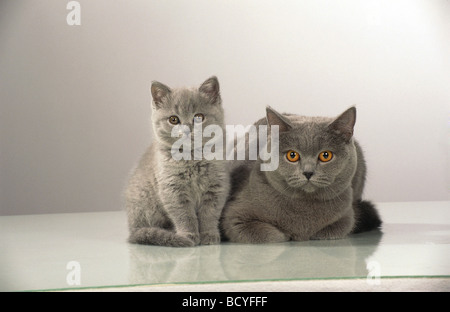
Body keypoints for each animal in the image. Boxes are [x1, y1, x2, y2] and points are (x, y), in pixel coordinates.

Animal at [126, 77, 232, 247]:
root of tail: (132, 229)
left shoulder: (216, 186)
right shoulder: (172, 189)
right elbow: (184, 215)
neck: (192, 158)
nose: (187, 129)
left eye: (199, 117)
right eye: (173, 119)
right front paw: (188, 236)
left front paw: (209, 235)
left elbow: (209, 214)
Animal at [220, 107, 382, 244]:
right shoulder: (234, 217)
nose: (308, 172)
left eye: (326, 155)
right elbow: (272, 236)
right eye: (292, 155)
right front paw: (287, 234)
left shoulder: (346, 216)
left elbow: (333, 230)